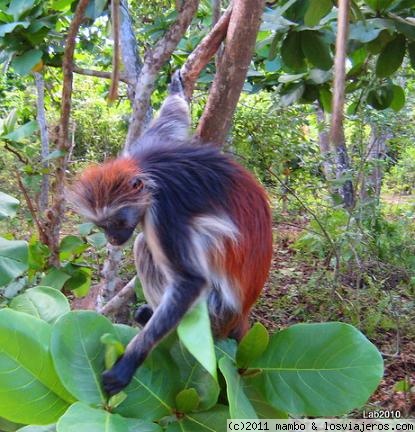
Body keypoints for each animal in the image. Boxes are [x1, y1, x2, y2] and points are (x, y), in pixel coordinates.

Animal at [70, 73, 274, 394]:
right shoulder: (145, 149)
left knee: (144, 245)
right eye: (103, 226)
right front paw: (175, 91)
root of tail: (240, 314)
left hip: (215, 310)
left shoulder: (164, 212)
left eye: (116, 222)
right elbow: (172, 120)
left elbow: (190, 282)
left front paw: (129, 362)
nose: (113, 239)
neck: (149, 174)